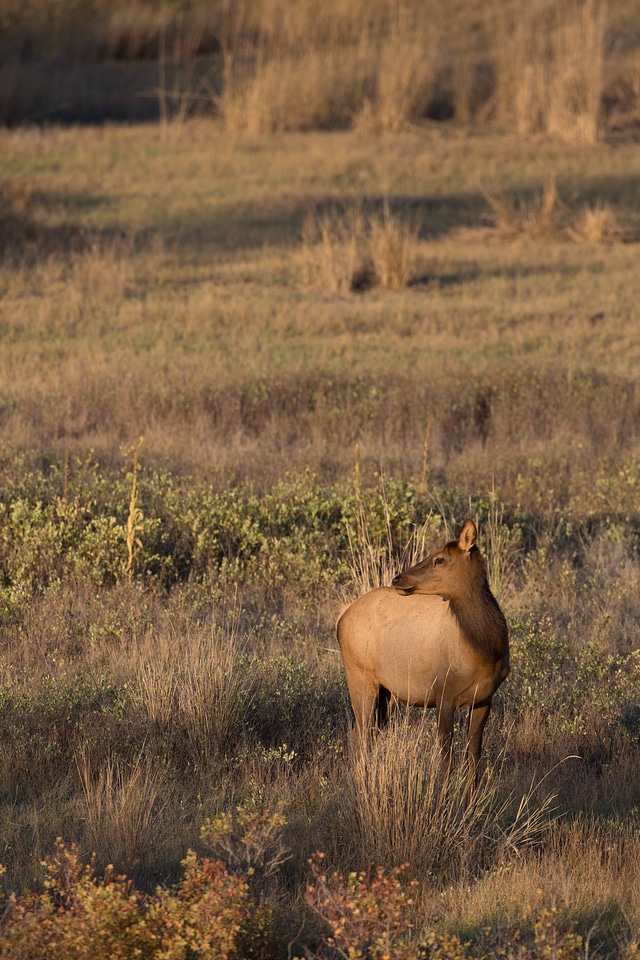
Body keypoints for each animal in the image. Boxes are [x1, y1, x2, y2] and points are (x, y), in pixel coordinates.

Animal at [336, 520, 510, 792]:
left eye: (439, 559)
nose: (397, 577)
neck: (485, 651)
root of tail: (341, 615)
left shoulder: (484, 698)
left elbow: (473, 754)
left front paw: (471, 798)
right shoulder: (443, 694)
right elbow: (447, 758)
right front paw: (446, 796)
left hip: (389, 692)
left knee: (365, 734)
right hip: (359, 676)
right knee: (360, 735)